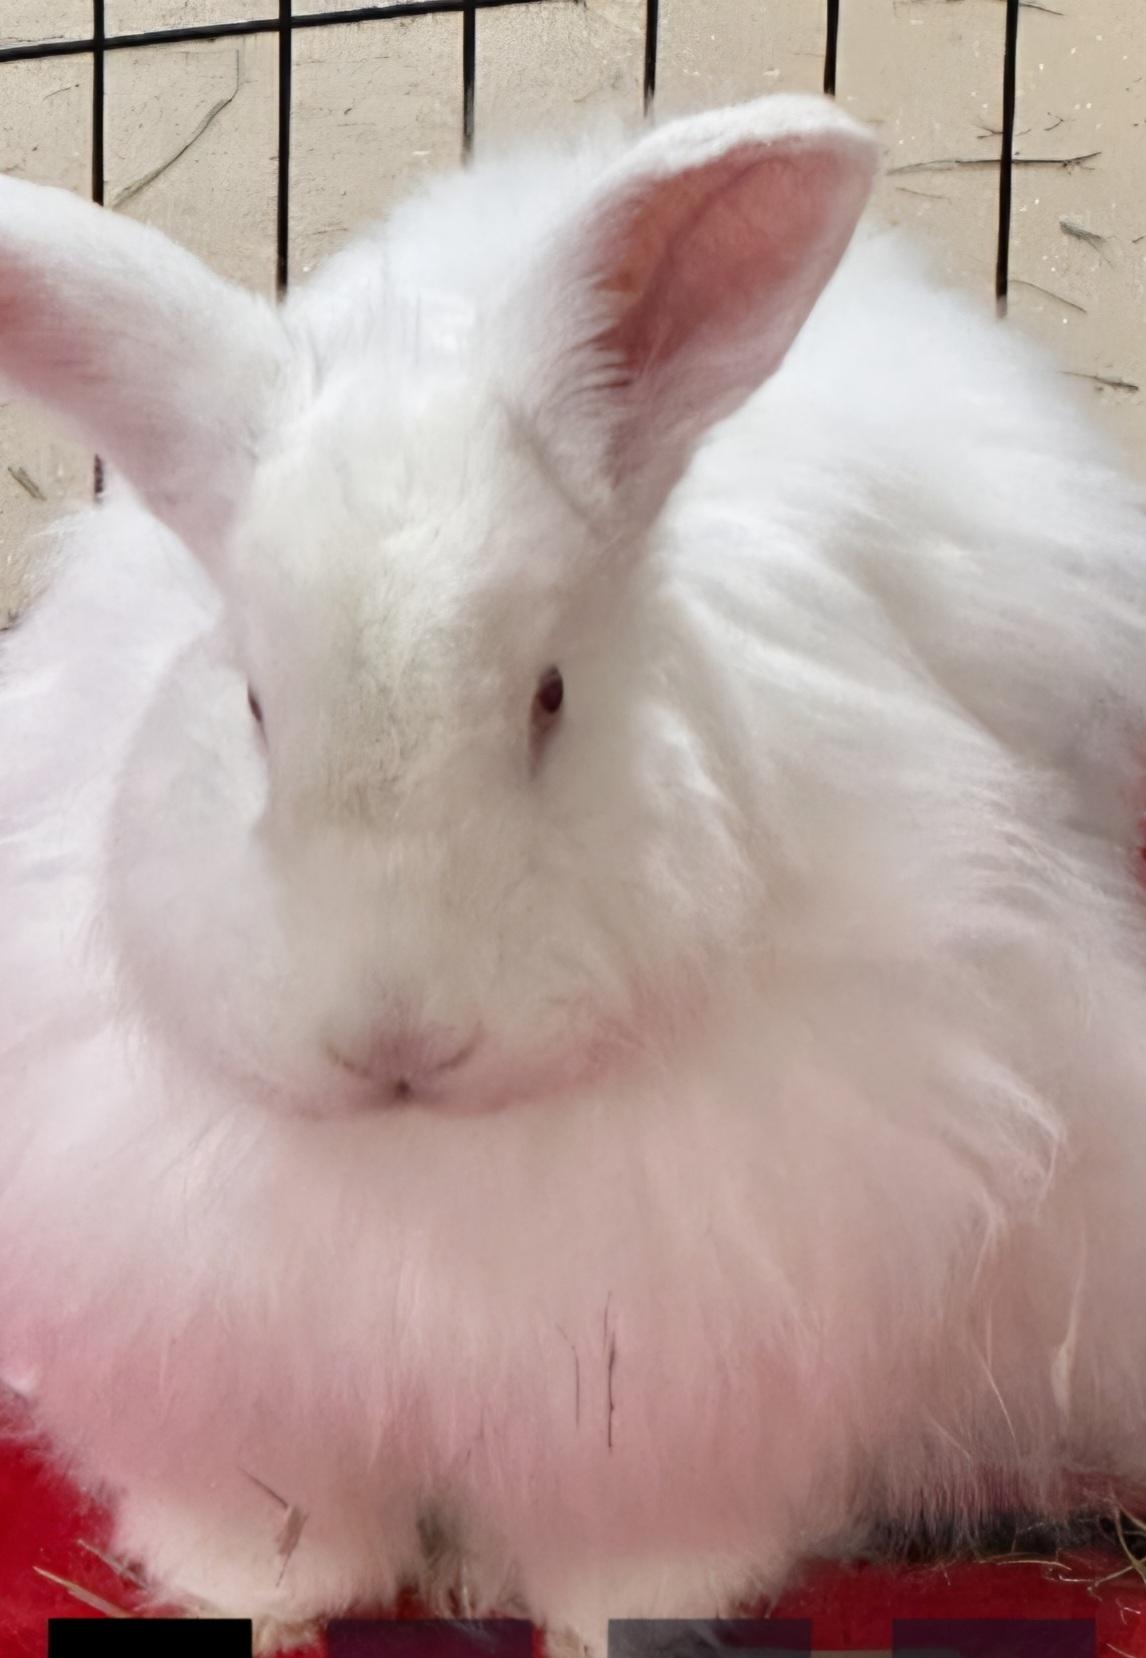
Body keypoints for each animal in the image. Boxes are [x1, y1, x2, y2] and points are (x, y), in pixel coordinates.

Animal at [4, 87, 1146, 1656]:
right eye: (251, 704)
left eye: (548, 696)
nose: (397, 1038)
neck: (429, 1158)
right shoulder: (223, 1379)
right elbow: (277, 1532)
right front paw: (261, 1602)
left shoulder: (678, 1395)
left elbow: (629, 1562)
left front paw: (600, 1613)